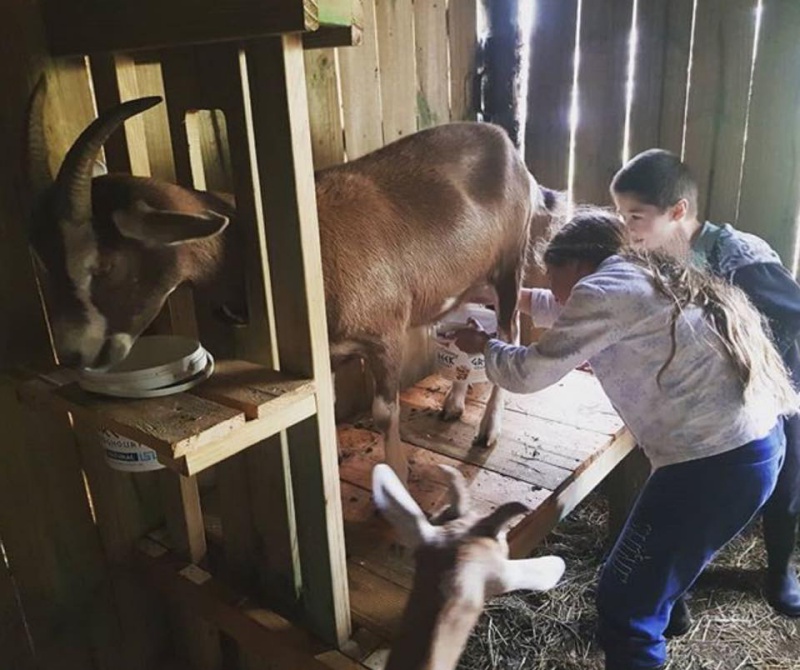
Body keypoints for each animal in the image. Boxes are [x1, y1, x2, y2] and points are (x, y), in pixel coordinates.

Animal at [24, 79, 556, 483]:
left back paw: (486, 430)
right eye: (44, 263)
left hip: (508, 266)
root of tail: (509, 148)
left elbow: (385, 413)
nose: (74, 353)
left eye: (104, 265)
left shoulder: (384, 334)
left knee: (508, 331)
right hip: (463, 280)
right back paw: (452, 404)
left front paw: (399, 482)